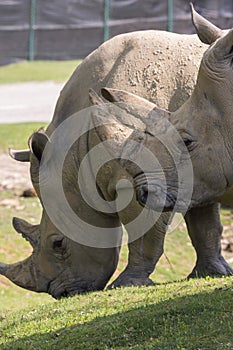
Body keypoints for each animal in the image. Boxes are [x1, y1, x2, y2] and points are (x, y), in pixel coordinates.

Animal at [0, 4, 231, 298]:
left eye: (57, 244)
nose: (61, 293)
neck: (77, 150)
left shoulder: (148, 173)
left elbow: (145, 235)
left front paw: (127, 283)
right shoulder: (190, 166)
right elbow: (204, 224)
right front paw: (211, 273)